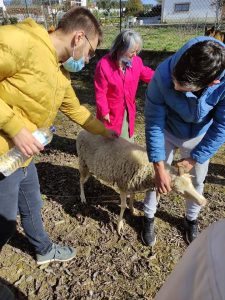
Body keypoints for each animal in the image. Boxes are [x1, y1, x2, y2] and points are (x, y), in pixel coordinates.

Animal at [76, 130, 207, 233]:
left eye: (191, 183)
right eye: (180, 192)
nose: (203, 201)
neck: (148, 169)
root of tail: (82, 131)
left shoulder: (132, 183)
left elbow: (133, 197)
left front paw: (133, 210)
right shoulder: (123, 184)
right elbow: (123, 206)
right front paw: (119, 225)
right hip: (83, 162)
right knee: (81, 181)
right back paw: (82, 197)